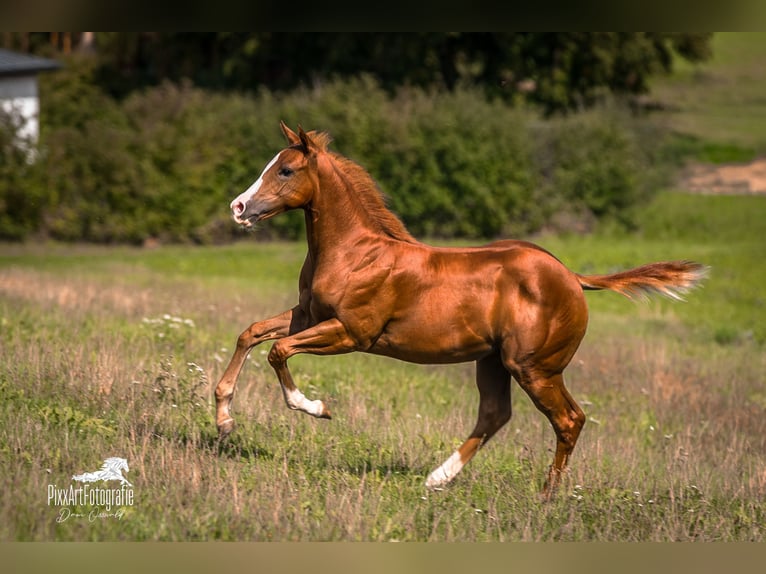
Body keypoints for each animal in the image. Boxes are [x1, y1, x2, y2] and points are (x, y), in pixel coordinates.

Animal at [215, 121, 707, 496]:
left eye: (286, 170)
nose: (238, 207)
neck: (355, 253)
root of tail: (572, 277)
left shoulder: (352, 332)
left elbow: (278, 352)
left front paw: (317, 408)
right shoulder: (308, 316)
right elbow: (251, 332)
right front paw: (223, 419)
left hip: (534, 367)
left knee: (569, 419)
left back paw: (547, 496)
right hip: (494, 362)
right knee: (496, 414)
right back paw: (438, 477)